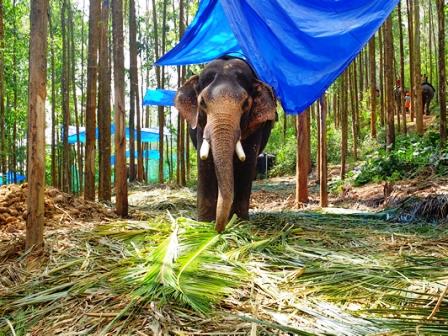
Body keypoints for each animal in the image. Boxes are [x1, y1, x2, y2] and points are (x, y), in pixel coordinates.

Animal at [175, 57, 276, 231]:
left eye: (245, 104)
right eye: (202, 102)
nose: (219, 230)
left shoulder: (256, 126)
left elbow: (247, 162)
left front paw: (240, 223)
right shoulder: (201, 126)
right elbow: (205, 163)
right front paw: (204, 223)